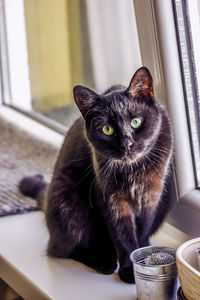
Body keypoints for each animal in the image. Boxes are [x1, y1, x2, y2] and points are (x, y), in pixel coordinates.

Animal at [19, 67, 173, 284]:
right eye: (107, 129)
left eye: (136, 122)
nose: (126, 144)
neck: (133, 170)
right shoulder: (113, 200)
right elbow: (123, 235)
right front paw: (129, 269)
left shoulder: (152, 194)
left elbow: (142, 231)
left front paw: (142, 256)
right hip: (65, 190)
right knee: (62, 250)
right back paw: (103, 261)